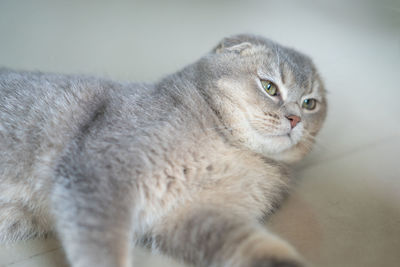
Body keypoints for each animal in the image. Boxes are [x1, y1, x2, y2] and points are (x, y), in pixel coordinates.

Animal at [0, 34, 324, 267]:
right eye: (269, 87)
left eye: (310, 103)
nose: (295, 119)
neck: (231, 147)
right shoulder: (99, 173)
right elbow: (103, 248)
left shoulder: (194, 216)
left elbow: (260, 247)